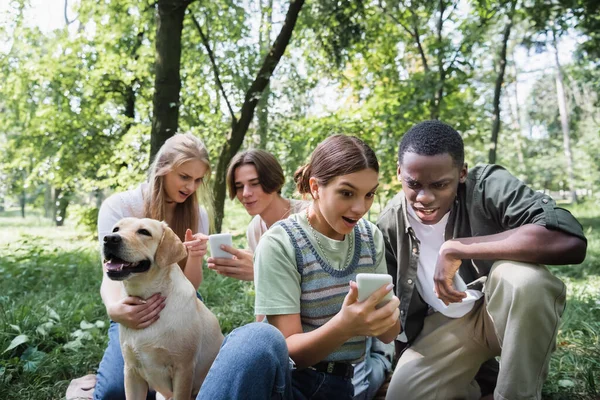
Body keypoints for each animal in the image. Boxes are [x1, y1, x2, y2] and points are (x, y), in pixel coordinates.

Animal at [102, 219, 224, 400]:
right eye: (116, 229)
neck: (146, 295)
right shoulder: (131, 371)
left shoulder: (183, 369)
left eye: (144, 232)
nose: (109, 238)